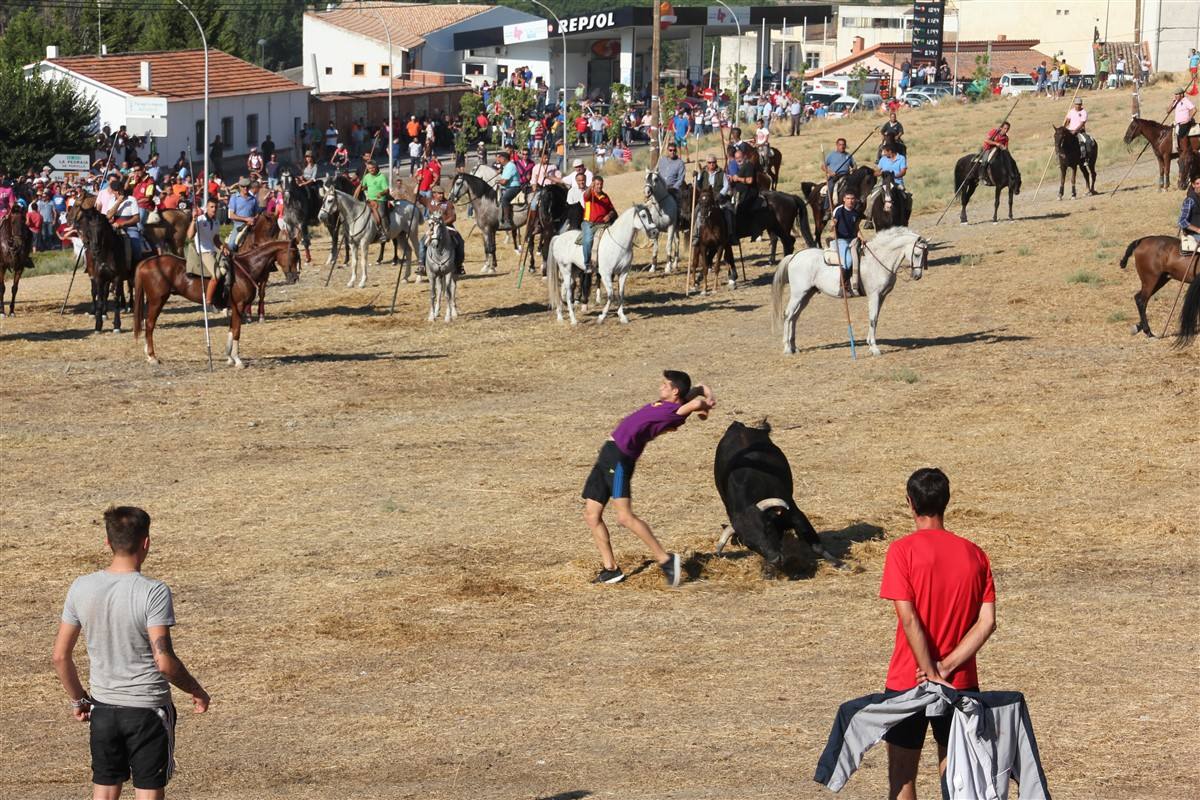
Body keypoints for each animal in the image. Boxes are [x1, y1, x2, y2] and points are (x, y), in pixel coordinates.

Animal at [130, 239, 297, 367]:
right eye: (293, 255)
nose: (295, 277)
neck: (247, 267)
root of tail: (147, 262)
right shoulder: (239, 306)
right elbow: (237, 331)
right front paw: (237, 360)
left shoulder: (234, 308)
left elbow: (231, 329)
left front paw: (229, 357)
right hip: (157, 300)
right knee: (150, 324)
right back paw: (152, 356)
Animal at [715, 422, 840, 573]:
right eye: (749, 544)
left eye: (767, 527)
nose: (775, 558)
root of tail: (737, 426)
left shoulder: (795, 514)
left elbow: (816, 545)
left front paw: (839, 563)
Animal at [768, 226, 926, 355]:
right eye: (917, 254)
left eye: (925, 254)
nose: (917, 276)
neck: (878, 259)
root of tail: (794, 256)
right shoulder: (874, 296)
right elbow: (872, 318)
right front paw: (874, 348)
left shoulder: (881, 297)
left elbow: (875, 319)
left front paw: (870, 343)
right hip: (798, 294)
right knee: (788, 314)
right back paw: (787, 348)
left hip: (807, 295)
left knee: (794, 317)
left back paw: (794, 347)